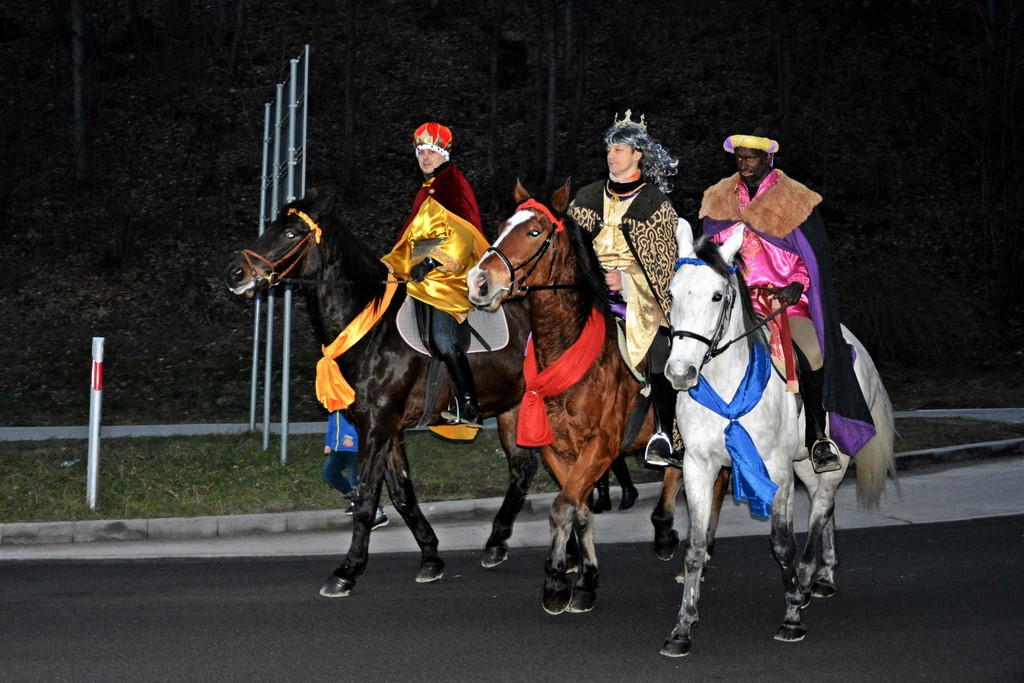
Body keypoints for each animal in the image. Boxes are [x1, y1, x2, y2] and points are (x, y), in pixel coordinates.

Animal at [224, 190, 540, 597]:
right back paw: (496, 542)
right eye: (273, 225)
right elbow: (402, 495)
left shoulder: (377, 427)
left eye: (292, 232)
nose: (235, 272)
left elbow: (365, 498)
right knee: (522, 468)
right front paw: (431, 558)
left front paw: (347, 570)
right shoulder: (385, 429)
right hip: (511, 408)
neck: (371, 332)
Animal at [466, 181, 729, 614]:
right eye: (503, 226)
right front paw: (581, 580)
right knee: (676, 472)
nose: (478, 281)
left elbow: (562, 507)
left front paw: (558, 583)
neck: (567, 350)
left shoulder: (601, 446)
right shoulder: (559, 449)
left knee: (717, 485)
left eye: (534, 232)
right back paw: (664, 531)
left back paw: (700, 555)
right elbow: (578, 510)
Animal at [658, 223, 896, 657]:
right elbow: (696, 547)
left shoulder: (774, 469)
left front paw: (791, 618)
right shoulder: (698, 468)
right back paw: (823, 577)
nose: (680, 372)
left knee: (822, 507)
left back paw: (806, 580)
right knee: (823, 504)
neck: (727, 383)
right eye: (672, 292)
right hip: (803, 463)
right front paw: (682, 628)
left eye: (717, 295)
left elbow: (782, 543)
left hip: (831, 459)